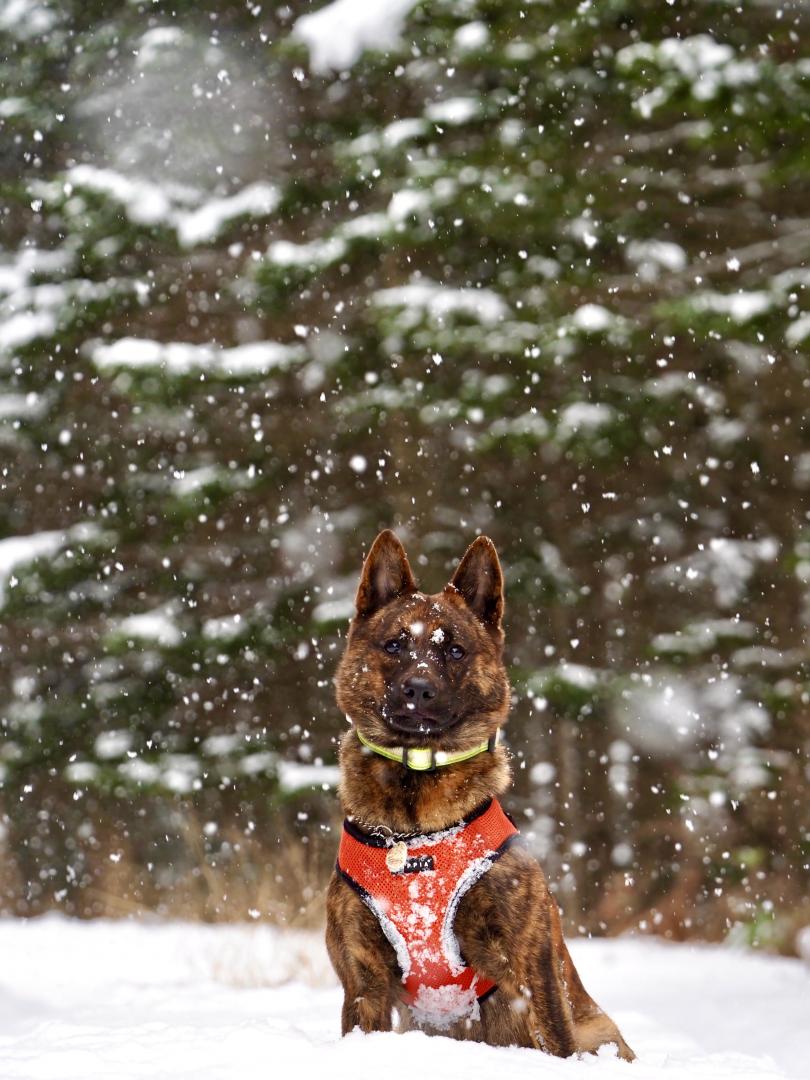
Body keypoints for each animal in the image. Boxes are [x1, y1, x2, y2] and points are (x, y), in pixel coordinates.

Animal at [326, 527, 639, 1058]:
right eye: (394, 644)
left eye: (454, 650)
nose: (418, 689)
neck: (417, 823)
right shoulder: (363, 975)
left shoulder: (529, 962)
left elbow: (553, 1033)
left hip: (600, 1033)